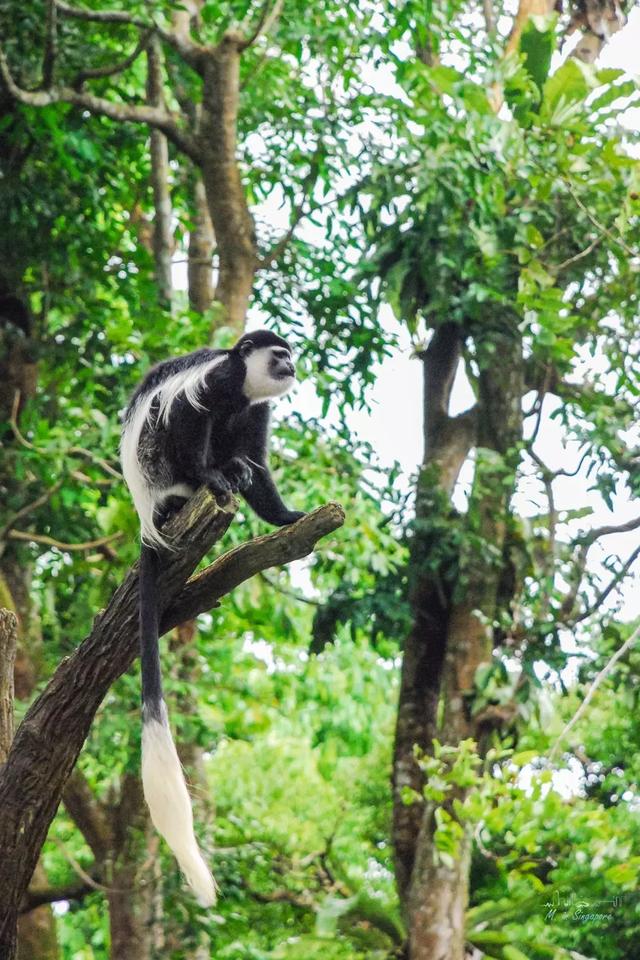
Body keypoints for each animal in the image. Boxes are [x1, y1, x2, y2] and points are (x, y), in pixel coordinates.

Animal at [123, 328, 308, 900]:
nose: (292, 366)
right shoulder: (218, 383)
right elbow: (190, 416)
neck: (244, 388)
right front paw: (214, 473)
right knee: (182, 438)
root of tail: (147, 515)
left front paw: (288, 516)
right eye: (279, 354)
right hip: (159, 470)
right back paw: (211, 479)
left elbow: (258, 458)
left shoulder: (256, 412)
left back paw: (232, 473)